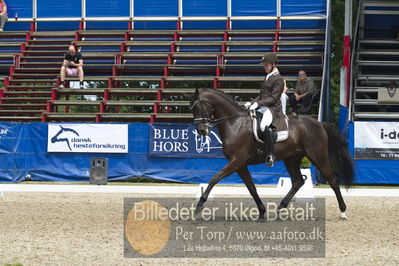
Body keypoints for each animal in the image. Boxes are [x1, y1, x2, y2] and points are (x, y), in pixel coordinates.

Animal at [191, 88, 356, 220]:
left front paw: (199, 205)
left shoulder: (237, 161)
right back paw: (280, 208)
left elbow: (215, 178)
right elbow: (251, 187)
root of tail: (319, 123)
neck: (235, 123)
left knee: (332, 180)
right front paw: (262, 212)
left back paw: (343, 212)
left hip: (317, 157)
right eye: (191, 109)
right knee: (298, 181)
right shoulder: (240, 165)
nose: (202, 131)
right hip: (291, 159)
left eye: (199, 107)